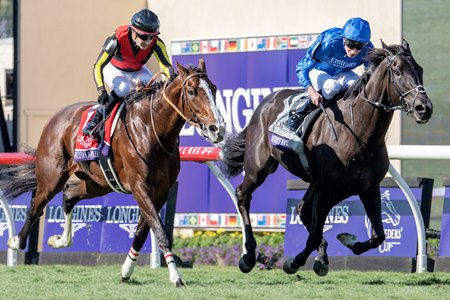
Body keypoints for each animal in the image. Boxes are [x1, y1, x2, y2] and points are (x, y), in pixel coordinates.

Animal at [0, 58, 225, 286]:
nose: (218, 129)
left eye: (214, 88)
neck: (153, 131)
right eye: (192, 91)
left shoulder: (161, 191)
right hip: (52, 177)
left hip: (97, 183)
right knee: (36, 206)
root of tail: (56, 117)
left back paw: (60, 240)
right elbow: (160, 231)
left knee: (69, 195)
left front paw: (126, 271)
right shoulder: (140, 187)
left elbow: (142, 232)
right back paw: (16, 241)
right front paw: (175, 276)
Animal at [221, 40, 432, 276]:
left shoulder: (368, 189)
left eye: (420, 70)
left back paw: (321, 258)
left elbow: (378, 236)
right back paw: (248, 256)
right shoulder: (326, 191)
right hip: (259, 167)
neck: (358, 135)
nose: (424, 108)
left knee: (302, 208)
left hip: (315, 182)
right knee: (243, 195)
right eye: (397, 71)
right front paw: (292, 262)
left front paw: (347, 241)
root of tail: (264, 103)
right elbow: (313, 236)